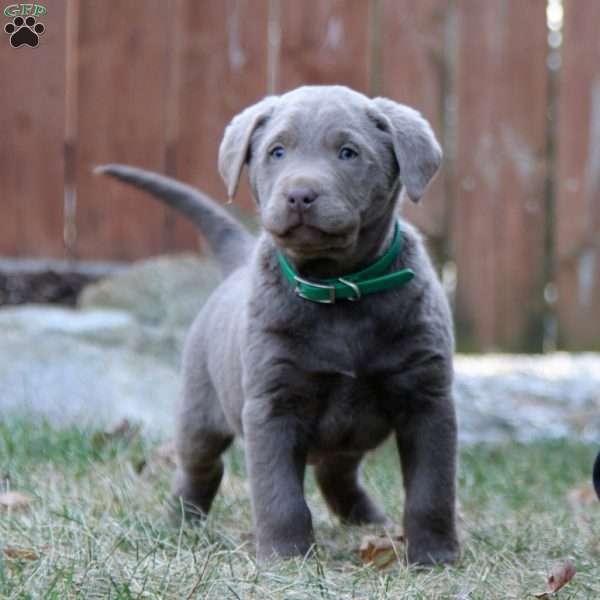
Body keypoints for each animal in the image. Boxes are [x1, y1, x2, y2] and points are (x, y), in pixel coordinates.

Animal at [97, 85, 460, 568]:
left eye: (348, 153)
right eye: (277, 152)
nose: (300, 195)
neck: (338, 289)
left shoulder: (428, 399)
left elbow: (431, 490)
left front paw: (435, 555)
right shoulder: (271, 404)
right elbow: (279, 494)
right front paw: (286, 557)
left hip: (348, 433)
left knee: (335, 470)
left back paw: (365, 517)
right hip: (199, 409)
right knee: (200, 465)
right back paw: (179, 521)